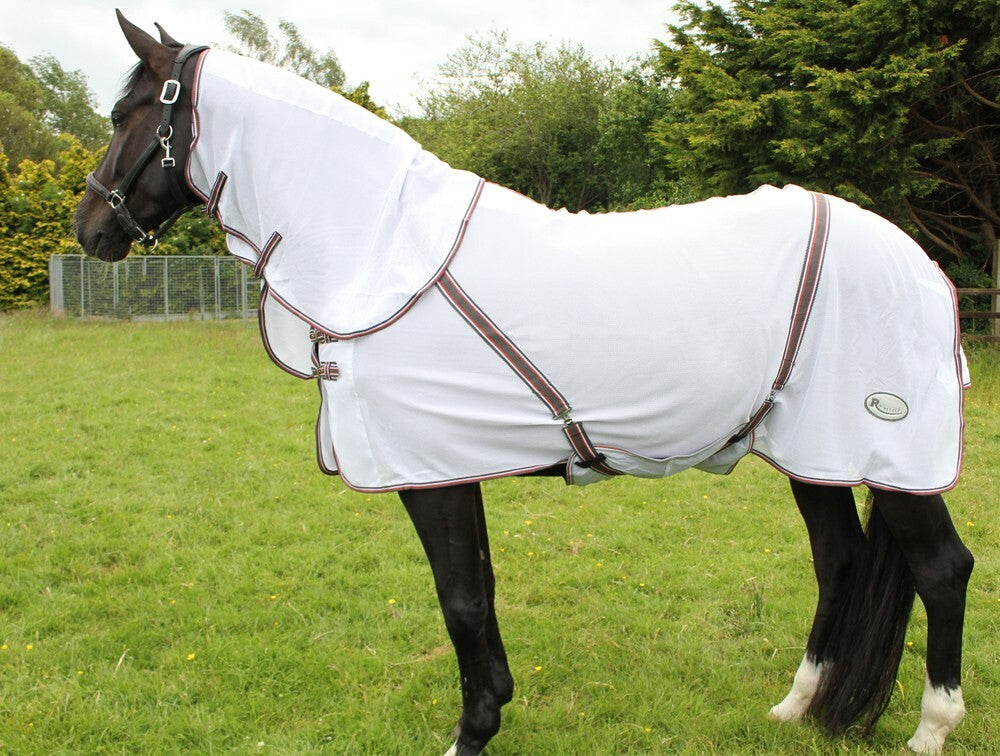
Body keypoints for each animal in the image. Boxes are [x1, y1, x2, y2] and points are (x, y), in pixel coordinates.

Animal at [73, 13, 974, 755]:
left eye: (125, 117)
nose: (89, 229)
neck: (383, 253)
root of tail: (924, 267)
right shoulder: (451, 463)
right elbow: (480, 591)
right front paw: (493, 709)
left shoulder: (426, 473)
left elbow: (462, 600)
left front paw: (470, 734)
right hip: (813, 451)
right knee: (841, 561)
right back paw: (798, 707)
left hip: (890, 456)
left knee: (942, 570)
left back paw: (929, 730)